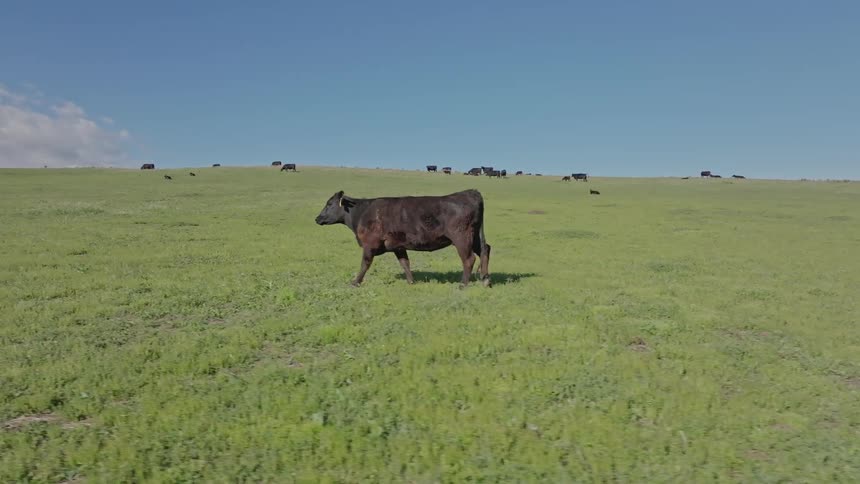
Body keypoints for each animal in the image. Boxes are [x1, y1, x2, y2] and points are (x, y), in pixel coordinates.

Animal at [314, 190, 492, 287]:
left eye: (329, 204)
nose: (317, 218)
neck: (362, 212)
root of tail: (470, 192)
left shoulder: (369, 245)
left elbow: (365, 264)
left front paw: (355, 282)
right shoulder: (398, 246)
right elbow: (405, 263)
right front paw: (411, 282)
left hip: (462, 238)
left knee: (469, 259)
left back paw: (463, 284)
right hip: (475, 237)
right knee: (485, 250)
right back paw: (485, 280)